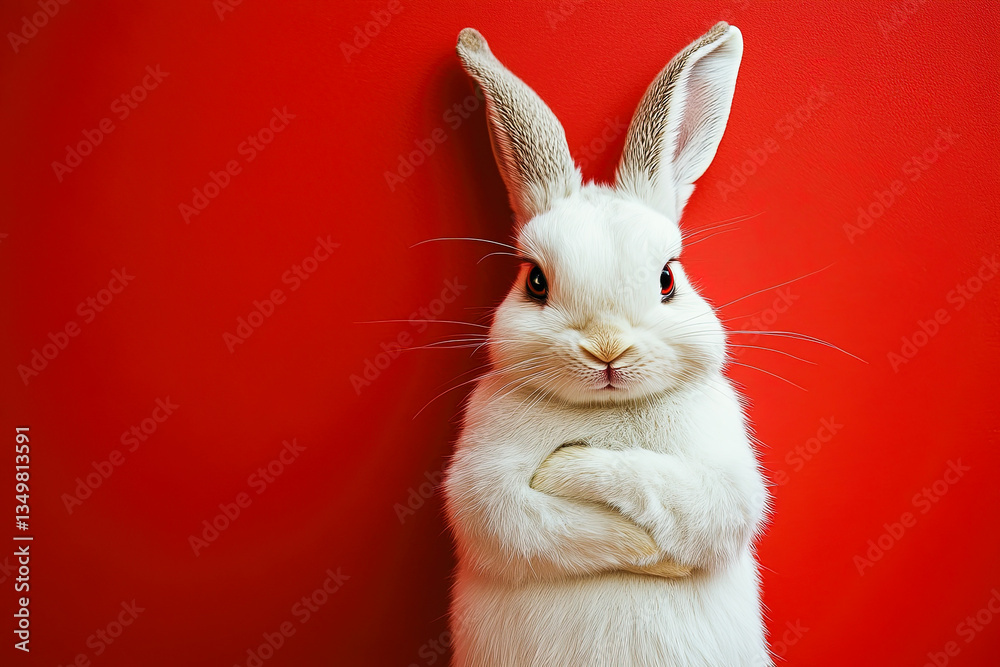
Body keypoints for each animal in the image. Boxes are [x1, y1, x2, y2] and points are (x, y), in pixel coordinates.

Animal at [442, 22, 770, 667]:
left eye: (667, 279)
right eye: (535, 282)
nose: (607, 349)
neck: (605, 411)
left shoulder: (723, 485)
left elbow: (661, 488)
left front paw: (570, 465)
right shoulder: (482, 491)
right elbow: (535, 522)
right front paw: (639, 546)